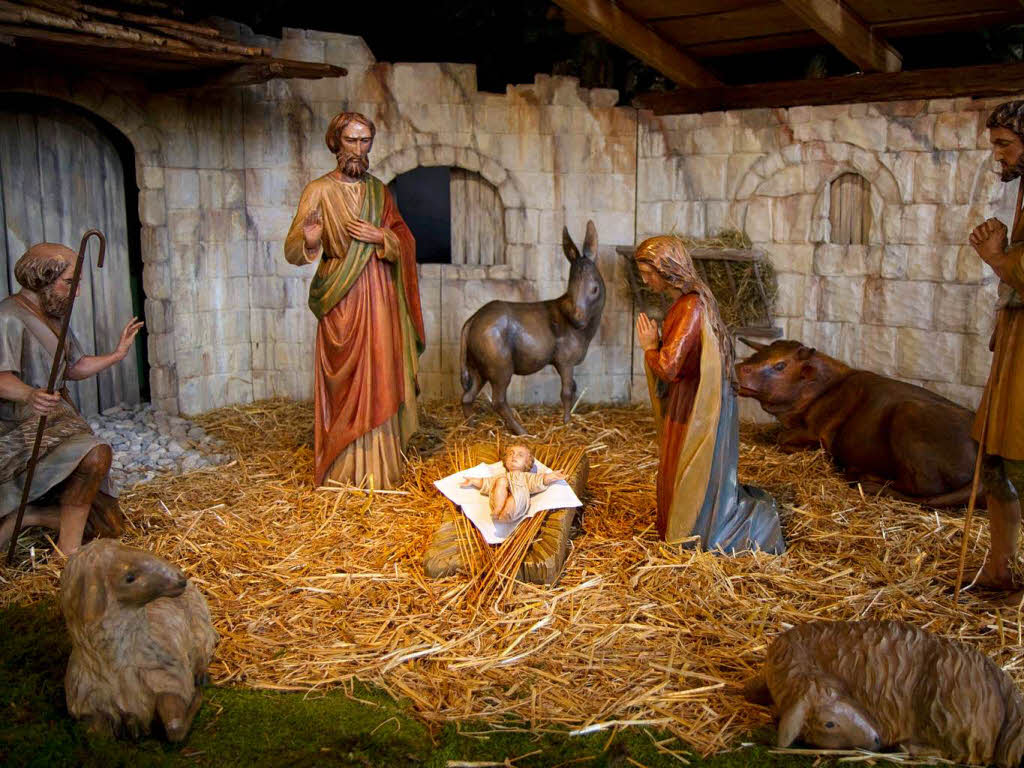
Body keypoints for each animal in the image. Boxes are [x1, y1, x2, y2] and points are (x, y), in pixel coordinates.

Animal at [59, 536, 218, 741]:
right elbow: (97, 735)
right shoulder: (91, 708)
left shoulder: (169, 684)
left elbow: (175, 728)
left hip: (200, 629)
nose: (180, 579)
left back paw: (201, 675)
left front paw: (197, 696)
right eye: (129, 578)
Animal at [737, 339, 974, 507]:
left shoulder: (817, 433)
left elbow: (782, 438)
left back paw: (863, 476)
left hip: (909, 416)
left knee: (923, 486)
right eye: (755, 355)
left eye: (780, 365)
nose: (739, 368)